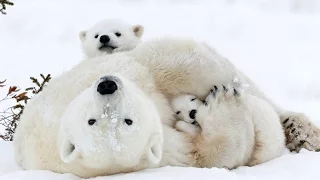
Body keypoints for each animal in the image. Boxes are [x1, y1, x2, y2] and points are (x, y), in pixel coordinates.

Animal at [12, 38, 318, 177]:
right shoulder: (160, 153)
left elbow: (176, 63)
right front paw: (222, 103)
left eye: (126, 119)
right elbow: (206, 154)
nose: (107, 85)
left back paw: (301, 130)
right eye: (93, 121)